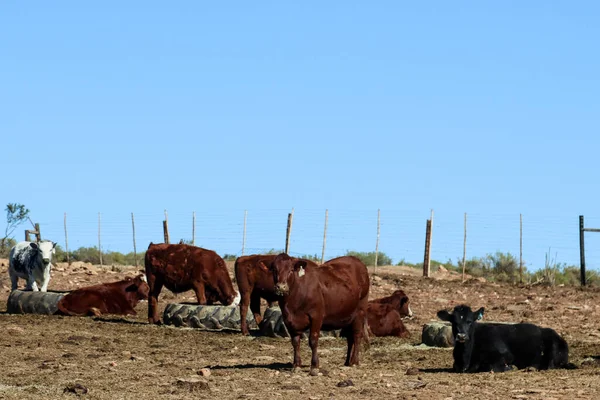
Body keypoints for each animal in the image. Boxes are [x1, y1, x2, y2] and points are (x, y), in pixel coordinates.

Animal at [438, 304, 568, 374]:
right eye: (454, 322)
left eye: (470, 321)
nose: (461, 336)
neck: (466, 359)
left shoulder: (505, 355)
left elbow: (489, 366)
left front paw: (510, 367)